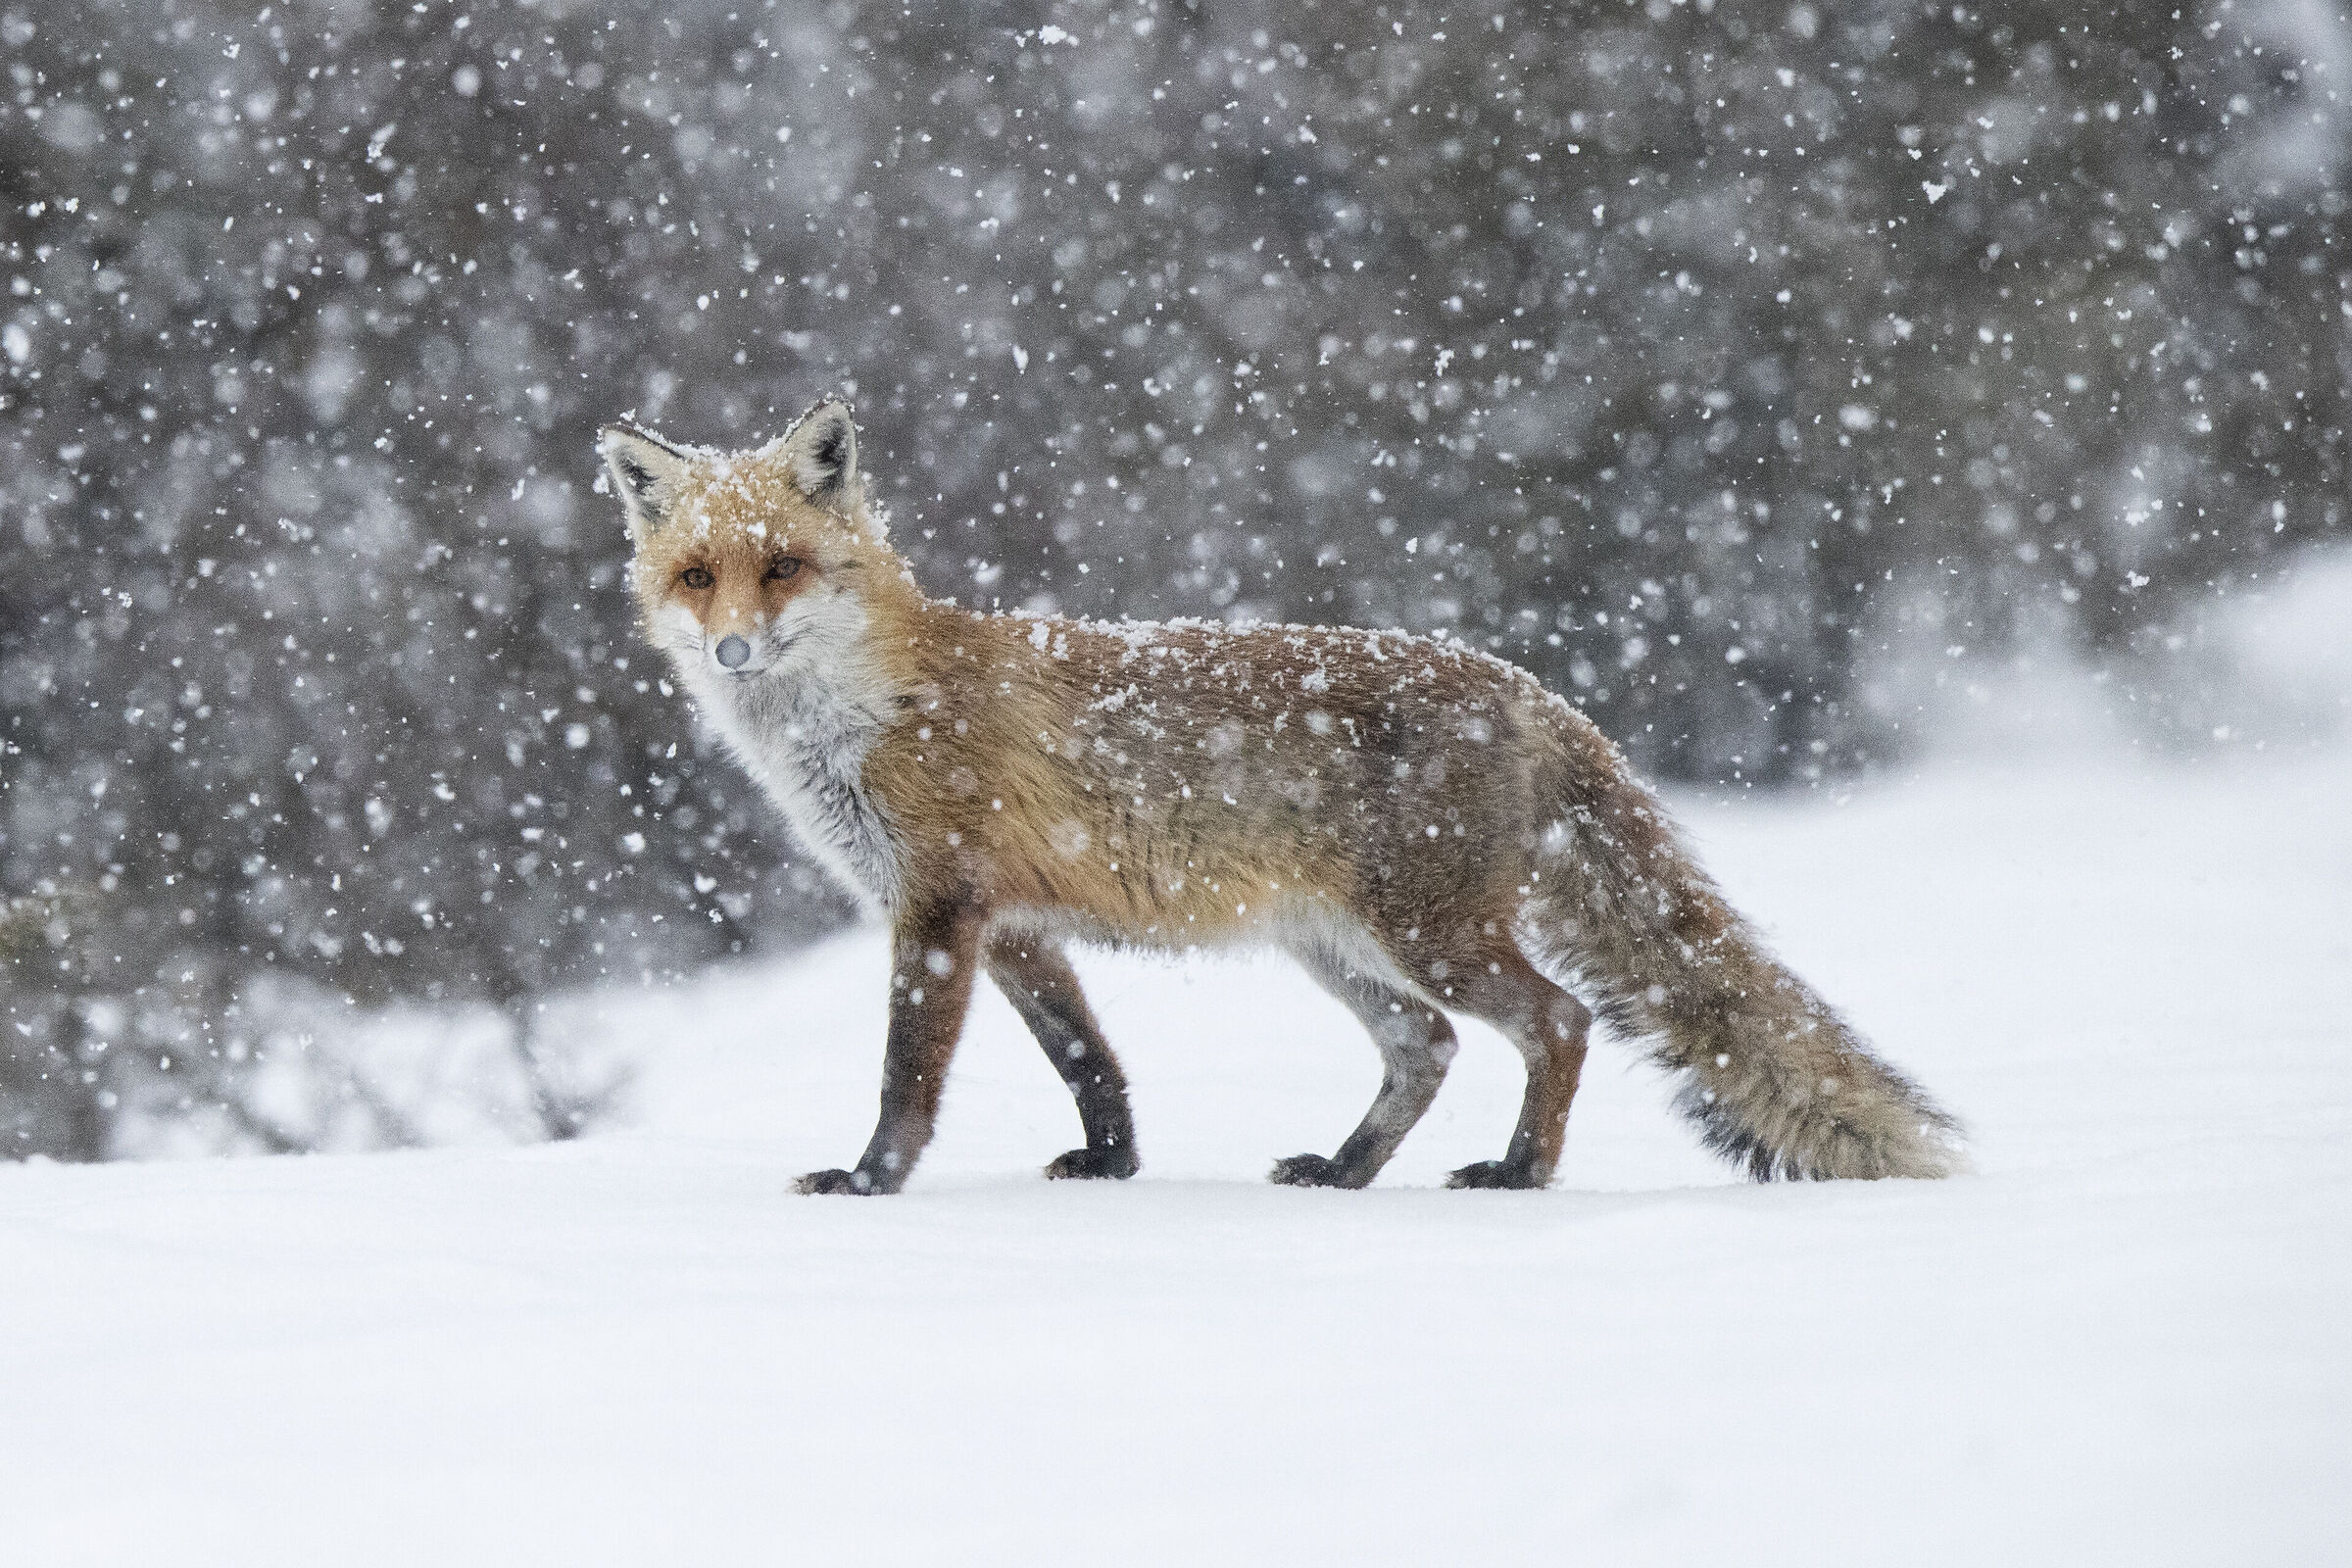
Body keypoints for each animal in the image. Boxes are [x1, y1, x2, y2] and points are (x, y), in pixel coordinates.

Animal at [600, 396, 1965, 1195]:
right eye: (697, 576)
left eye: (782, 567)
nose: (732, 650)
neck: (875, 708)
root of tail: (1533, 689)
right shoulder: (1015, 924)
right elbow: (1089, 1060)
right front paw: (1114, 1166)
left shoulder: (938, 912)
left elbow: (904, 1080)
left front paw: (869, 1183)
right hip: (1338, 944)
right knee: (1428, 1046)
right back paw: (1348, 1172)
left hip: (1430, 933)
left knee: (1559, 1020)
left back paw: (1519, 1174)